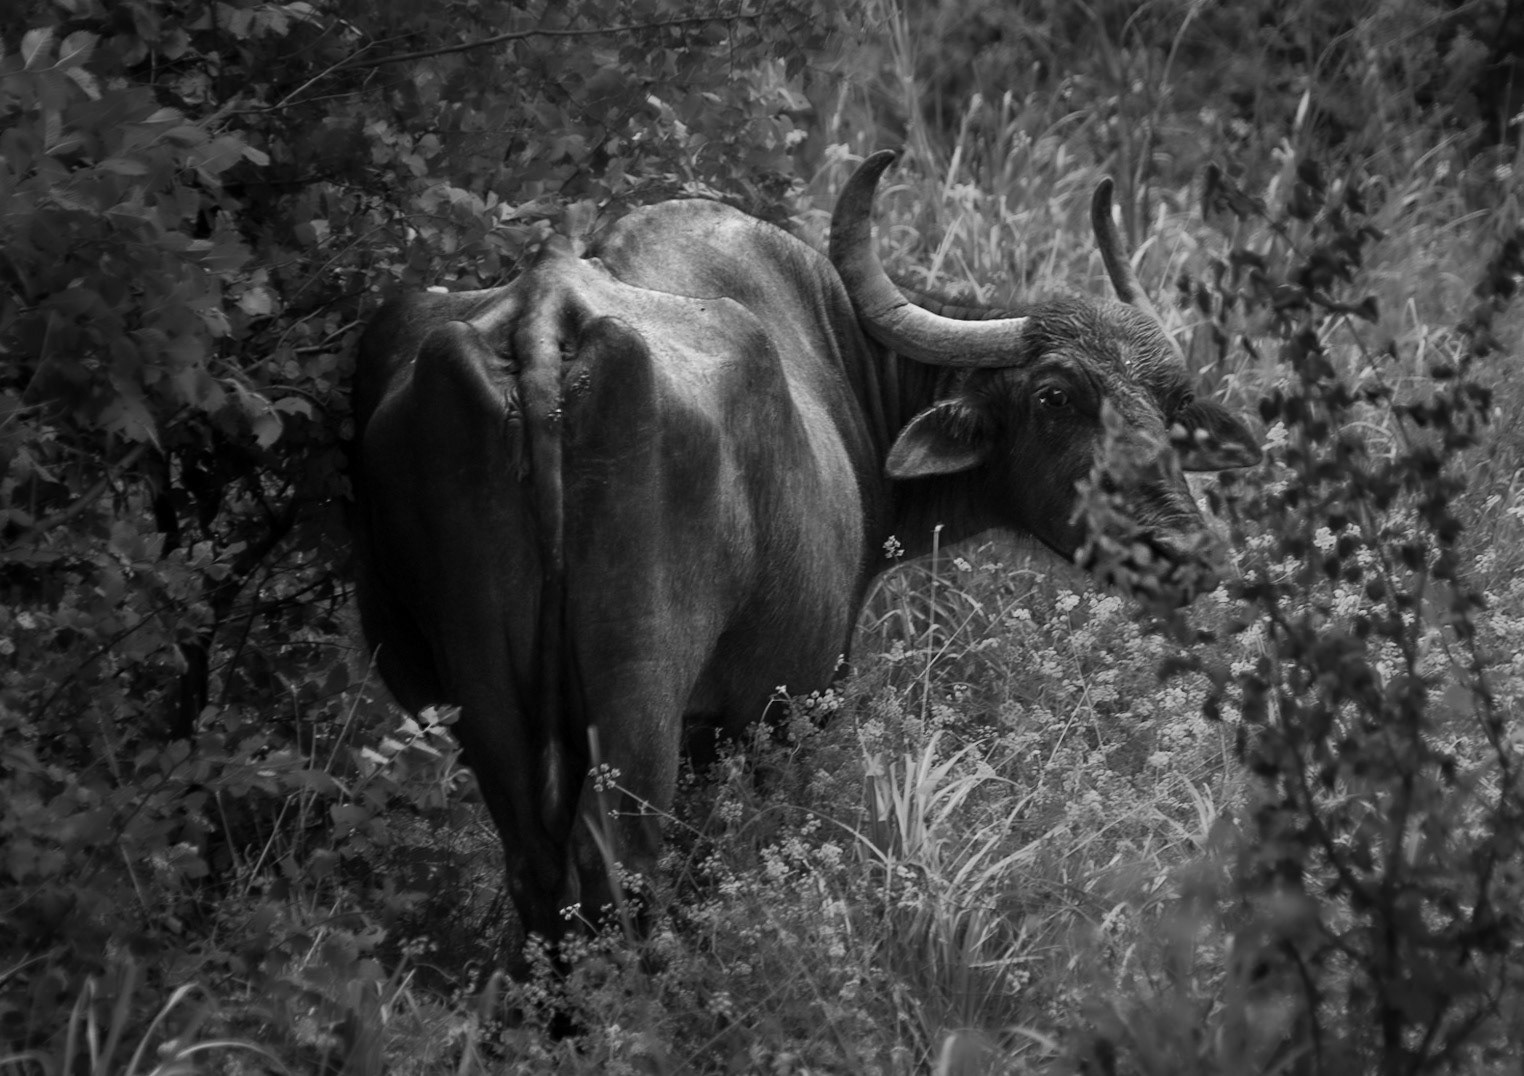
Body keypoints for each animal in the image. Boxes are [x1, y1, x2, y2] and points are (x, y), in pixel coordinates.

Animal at [349, 150, 1260, 948]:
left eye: (1172, 404)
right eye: (1055, 396)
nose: (1184, 547)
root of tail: (544, 329)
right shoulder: (786, 702)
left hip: (478, 701)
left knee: (536, 869)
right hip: (641, 697)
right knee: (617, 863)